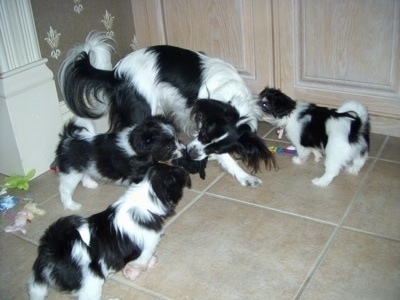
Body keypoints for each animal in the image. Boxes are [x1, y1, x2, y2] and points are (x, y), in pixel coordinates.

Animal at [28, 164, 191, 300]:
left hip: (38, 283)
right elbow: (140, 262)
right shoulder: (147, 246)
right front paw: (133, 272)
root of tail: (55, 248)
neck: (142, 200)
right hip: (91, 284)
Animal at [55, 113, 184, 210]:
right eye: (168, 147)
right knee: (64, 189)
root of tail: (68, 138)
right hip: (71, 173)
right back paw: (71, 205)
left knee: (85, 174)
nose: (184, 149)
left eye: (177, 138)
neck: (134, 144)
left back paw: (91, 184)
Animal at [58, 31, 276, 186]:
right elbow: (228, 159)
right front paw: (244, 176)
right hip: (142, 110)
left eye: (215, 146)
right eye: (204, 134)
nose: (191, 153)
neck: (233, 102)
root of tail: (115, 72)